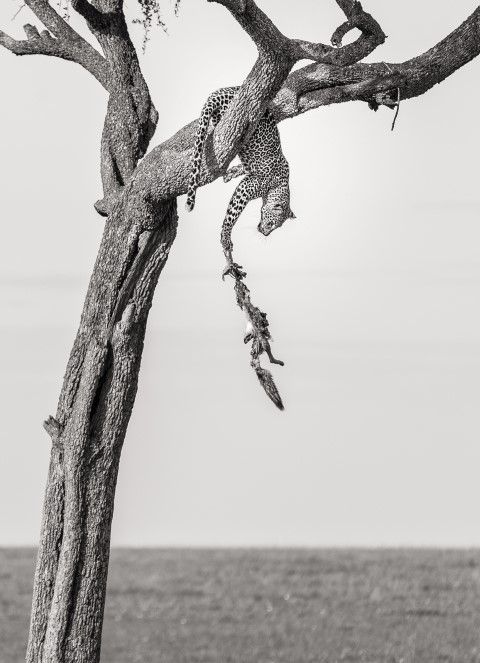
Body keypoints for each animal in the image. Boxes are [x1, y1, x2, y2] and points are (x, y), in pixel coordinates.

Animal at [185, 86, 295, 276]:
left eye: (276, 227)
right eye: (271, 224)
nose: (265, 234)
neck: (279, 186)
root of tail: (223, 91)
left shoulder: (249, 172)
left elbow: (243, 168)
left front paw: (230, 174)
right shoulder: (246, 188)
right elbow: (232, 214)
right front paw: (225, 237)